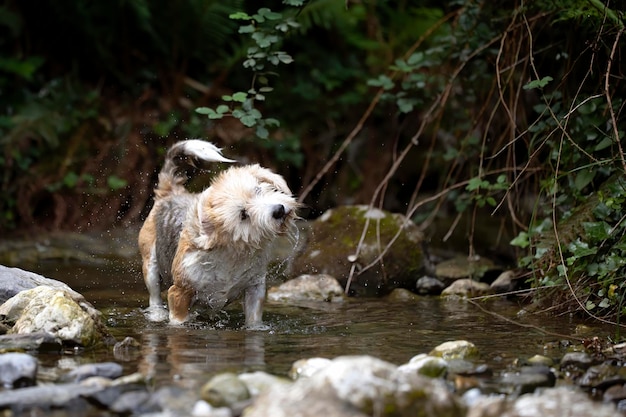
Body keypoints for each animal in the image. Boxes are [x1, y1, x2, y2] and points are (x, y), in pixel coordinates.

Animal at [138, 141, 298, 328]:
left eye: (258, 190)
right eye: (243, 214)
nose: (279, 210)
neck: (233, 255)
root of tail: (171, 192)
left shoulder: (255, 287)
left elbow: (253, 319)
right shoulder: (179, 292)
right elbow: (177, 320)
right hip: (150, 265)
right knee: (154, 296)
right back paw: (156, 314)